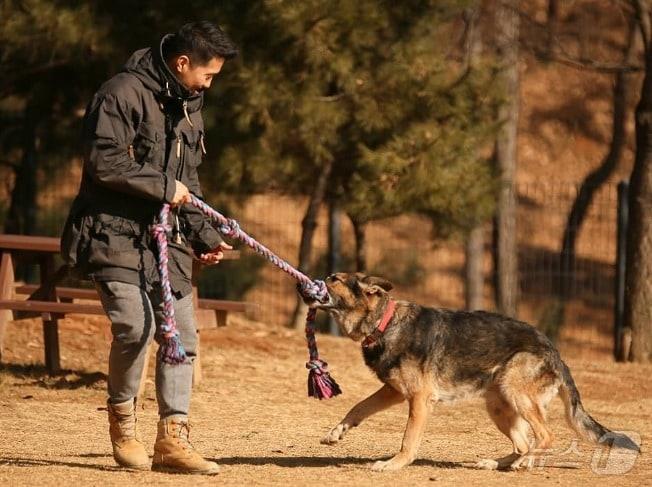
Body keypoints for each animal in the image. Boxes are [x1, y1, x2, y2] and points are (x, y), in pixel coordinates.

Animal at [304, 272, 640, 470]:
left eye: (333, 279)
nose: (300, 284)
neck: (384, 323)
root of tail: (553, 350)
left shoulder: (419, 400)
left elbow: (408, 439)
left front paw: (394, 464)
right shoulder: (395, 392)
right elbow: (358, 407)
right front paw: (336, 433)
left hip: (514, 393)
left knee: (545, 436)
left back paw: (524, 463)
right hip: (499, 406)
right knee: (523, 443)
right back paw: (498, 463)